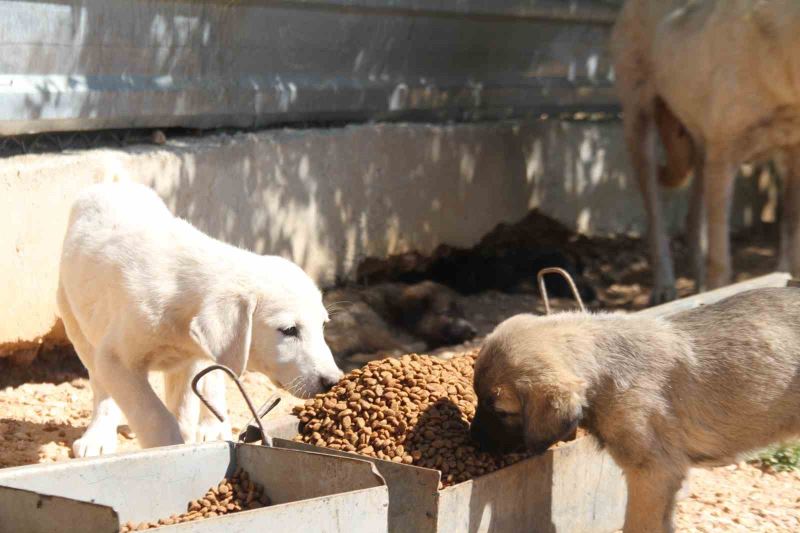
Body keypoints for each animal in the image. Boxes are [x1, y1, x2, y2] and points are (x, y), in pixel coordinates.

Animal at [57, 181, 342, 456]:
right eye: (289, 330)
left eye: (322, 326)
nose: (332, 381)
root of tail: (111, 183)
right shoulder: (116, 358)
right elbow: (154, 415)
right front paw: (170, 447)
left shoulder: (196, 353)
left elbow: (189, 402)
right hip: (76, 323)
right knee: (100, 384)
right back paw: (97, 437)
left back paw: (212, 428)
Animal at [472, 286, 800, 532]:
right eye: (477, 398)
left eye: (500, 411)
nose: (473, 442)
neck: (605, 368)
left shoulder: (653, 473)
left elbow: (638, 523)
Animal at [612, 0, 800, 302]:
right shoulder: (724, 157)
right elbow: (720, 260)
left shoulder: (793, 157)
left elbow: (792, 238)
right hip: (639, 127)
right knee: (656, 223)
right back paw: (666, 288)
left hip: (701, 151)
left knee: (691, 221)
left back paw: (698, 289)